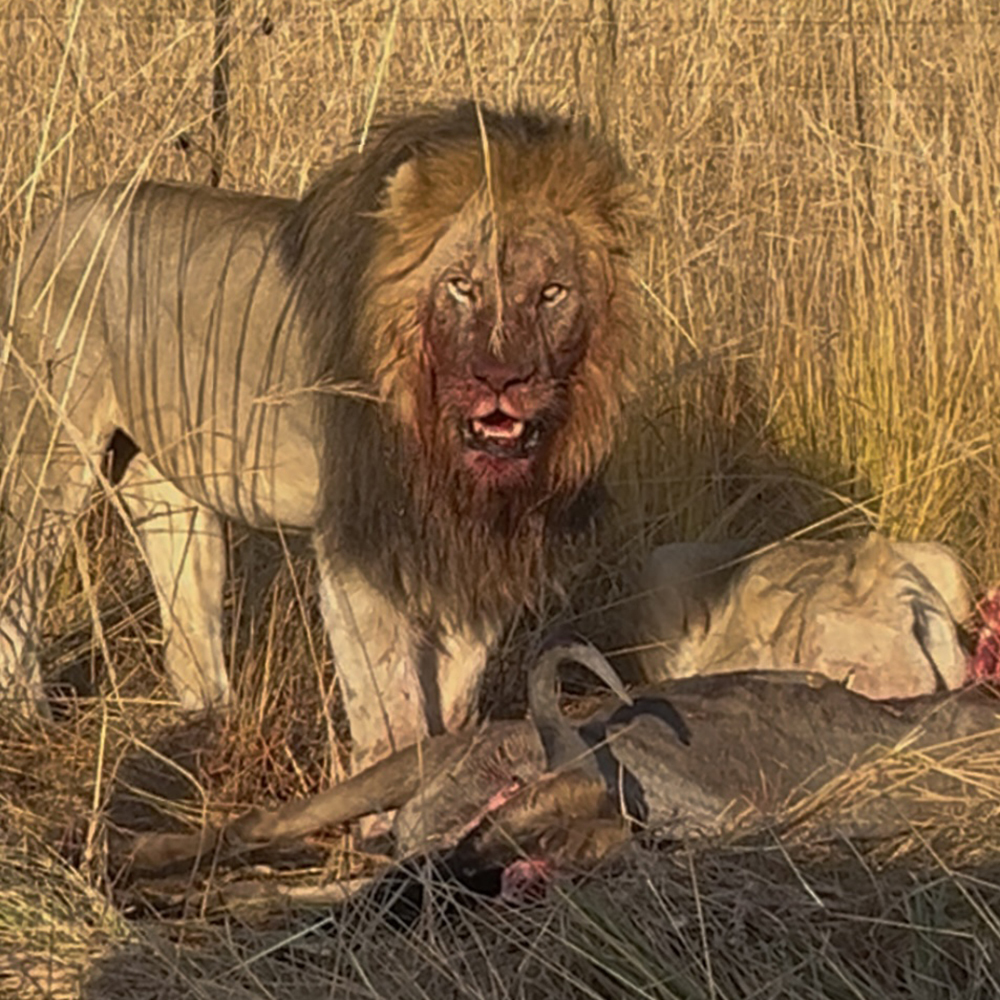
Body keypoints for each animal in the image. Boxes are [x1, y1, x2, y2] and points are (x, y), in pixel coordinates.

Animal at [0, 104, 639, 771]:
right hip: (50, 452)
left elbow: (457, 692)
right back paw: (30, 719)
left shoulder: (476, 550)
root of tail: (51, 224)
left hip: (169, 489)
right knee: (17, 588)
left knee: (187, 622)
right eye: (462, 286)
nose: (501, 377)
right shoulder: (358, 543)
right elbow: (392, 705)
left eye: (551, 293)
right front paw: (390, 787)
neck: (450, 455)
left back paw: (207, 729)